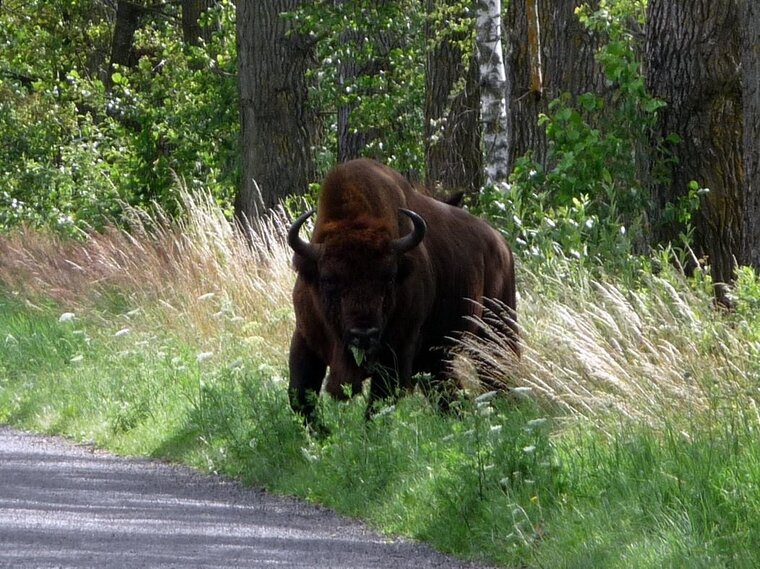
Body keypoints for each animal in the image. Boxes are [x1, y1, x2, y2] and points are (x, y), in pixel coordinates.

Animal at [284, 156, 516, 426]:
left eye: (389, 277)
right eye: (328, 279)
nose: (363, 335)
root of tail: (501, 244)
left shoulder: (396, 353)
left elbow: (377, 404)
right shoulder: (304, 338)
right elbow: (300, 395)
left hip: (495, 333)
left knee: (495, 373)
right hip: (436, 356)